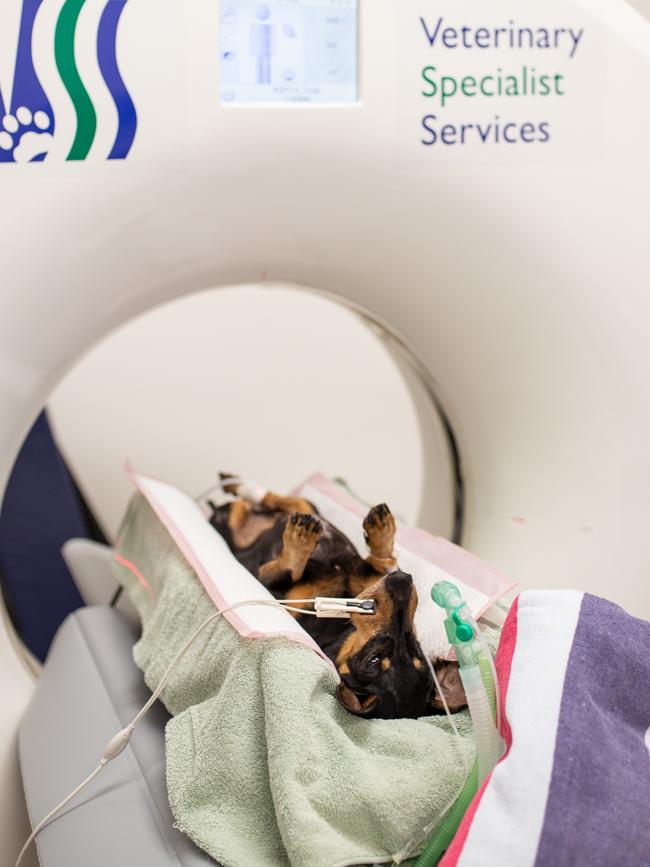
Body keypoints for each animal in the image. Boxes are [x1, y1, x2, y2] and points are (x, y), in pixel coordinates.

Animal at [206, 478, 460, 724]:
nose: (403, 582)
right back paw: (238, 485)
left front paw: (298, 544)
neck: (340, 627)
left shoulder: (268, 584)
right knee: (284, 502)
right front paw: (381, 533)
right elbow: (380, 561)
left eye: (373, 661)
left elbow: (288, 569)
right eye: (417, 652)